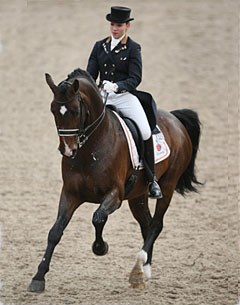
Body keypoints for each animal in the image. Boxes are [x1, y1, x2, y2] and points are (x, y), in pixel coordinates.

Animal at [28, 67, 202, 290]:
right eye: (53, 110)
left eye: (75, 111)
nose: (67, 150)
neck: (90, 147)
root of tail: (175, 119)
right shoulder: (70, 193)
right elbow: (55, 231)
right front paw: (38, 277)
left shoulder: (115, 196)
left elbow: (98, 217)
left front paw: (100, 247)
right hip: (138, 196)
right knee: (146, 224)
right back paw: (144, 270)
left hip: (168, 185)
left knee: (156, 224)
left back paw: (138, 268)